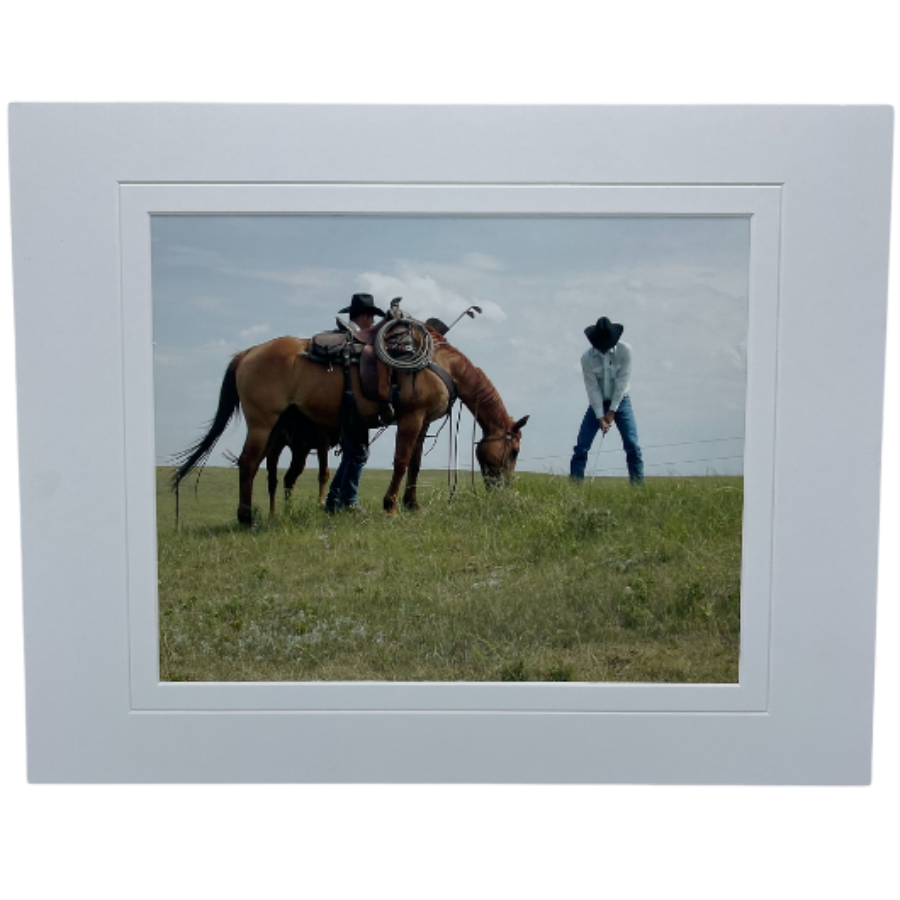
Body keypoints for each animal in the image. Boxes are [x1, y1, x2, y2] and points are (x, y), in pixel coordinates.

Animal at [171, 324, 528, 524]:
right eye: (513, 451)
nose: (505, 488)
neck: (441, 364)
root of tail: (247, 353)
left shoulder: (423, 422)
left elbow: (414, 465)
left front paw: (413, 506)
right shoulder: (411, 418)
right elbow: (401, 462)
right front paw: (391, 507)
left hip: (275, 430)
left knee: (263, 468)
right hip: (262, 423)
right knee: (248, 464)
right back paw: (246, 518)